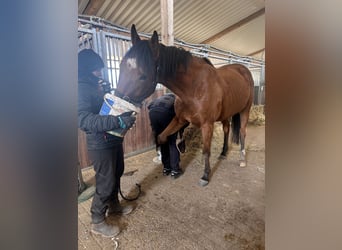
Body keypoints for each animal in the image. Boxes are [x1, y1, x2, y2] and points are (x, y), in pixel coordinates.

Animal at [115, 24, 254, 186]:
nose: (118, 106)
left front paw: (205, 176)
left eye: (142, 76)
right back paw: (223, 153)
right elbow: (162, 137)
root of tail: (243, 69)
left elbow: (206, 151)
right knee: (226, 129)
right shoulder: (180, 120)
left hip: (245, 110)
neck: (194, 88)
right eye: (121, 66)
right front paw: (165, 161)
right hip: (226, 114)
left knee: (243, 132)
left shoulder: (207, 125)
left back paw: (242, 159)